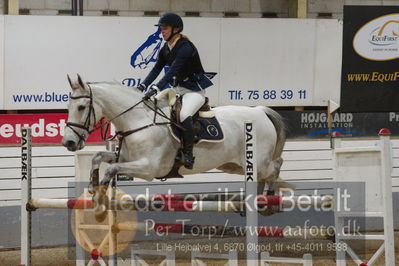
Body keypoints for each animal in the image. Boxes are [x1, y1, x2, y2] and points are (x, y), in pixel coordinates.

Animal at [61, 75, 288, 197]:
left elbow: (113, 168)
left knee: (276, 166)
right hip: (234, 166)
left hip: (258, 162)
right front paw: (92, 185)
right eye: (69, 107)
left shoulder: (149, 168)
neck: (138, 120)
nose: (68, 142)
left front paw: (102, 187)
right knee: (264, 174)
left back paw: (268, 196)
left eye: (81, 107)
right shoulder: (126, 158)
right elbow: (98, 157)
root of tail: (260, 111)